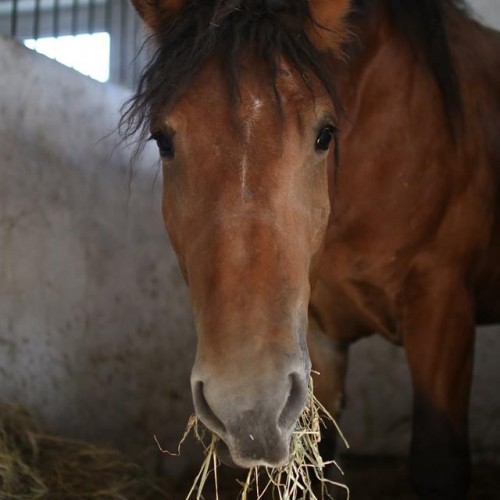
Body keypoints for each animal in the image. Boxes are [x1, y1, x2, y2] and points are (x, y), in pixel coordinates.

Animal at [122, 1, 500, 498]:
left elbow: (438, 461)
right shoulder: (318, 336)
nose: (248, 408)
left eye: (325, 134)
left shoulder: (442, 306)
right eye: (163, 140)